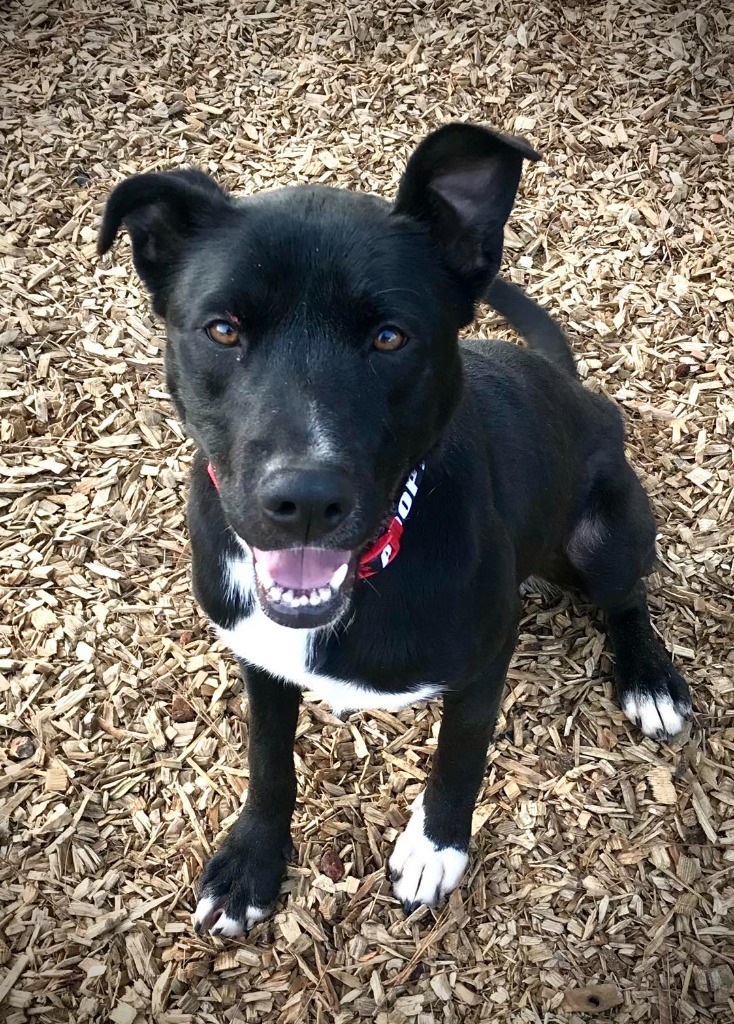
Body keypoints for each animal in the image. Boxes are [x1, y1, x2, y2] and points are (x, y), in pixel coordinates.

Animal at [98, 121, 692, 937]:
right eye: (222, 329)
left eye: (389, 338)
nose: (304, 498)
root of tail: (570, 384)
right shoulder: (259, 657)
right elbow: (268, 762)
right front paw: (252, 860)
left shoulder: (486, 658)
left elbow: (460, 757)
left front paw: (436, 848)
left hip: (608, 528)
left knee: (627, 596)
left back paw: (650, 678)